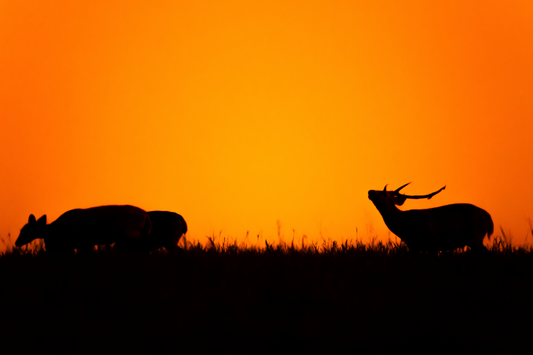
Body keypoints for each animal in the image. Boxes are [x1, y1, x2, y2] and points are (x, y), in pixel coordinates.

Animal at [15, 204, 152, 254]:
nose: (17, 242)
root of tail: (146, 215)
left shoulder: (81, 241)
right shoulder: (79, 244)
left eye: (24, 230)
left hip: (130, 233)